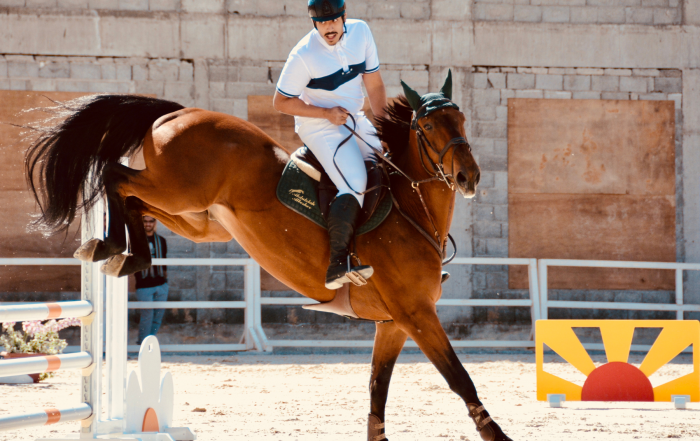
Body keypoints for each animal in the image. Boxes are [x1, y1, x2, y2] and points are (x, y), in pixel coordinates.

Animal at [24, 72, 512, 441]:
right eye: (427, 129)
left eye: (460, 119)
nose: (468, 177)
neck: (412, 209)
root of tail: (180, 112)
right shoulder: (416, 313)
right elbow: (458, 377)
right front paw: (496, 434)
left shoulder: (392, 323)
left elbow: (378, 388)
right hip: (179, 190)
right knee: (114, 174)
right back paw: (108, 246)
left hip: (198, 217)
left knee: (135, 200)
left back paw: (121, 253)